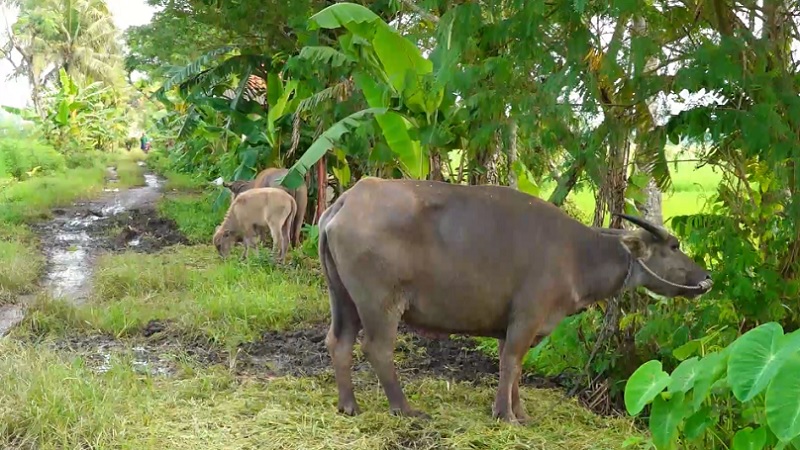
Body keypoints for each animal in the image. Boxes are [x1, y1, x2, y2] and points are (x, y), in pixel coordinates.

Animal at [318, 177, 712, 426]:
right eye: (673, 246)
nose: (706, 278)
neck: (577, 254)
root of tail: (345, 202)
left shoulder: (514, 326)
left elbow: (517, 368)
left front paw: (519, 412)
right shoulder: (527, 316)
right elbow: (510, 364)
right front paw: (506, 416)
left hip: (343, 297)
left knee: (338, 342)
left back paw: (348, 405)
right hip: (380, 302)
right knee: (377, 348)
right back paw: (404, 408)